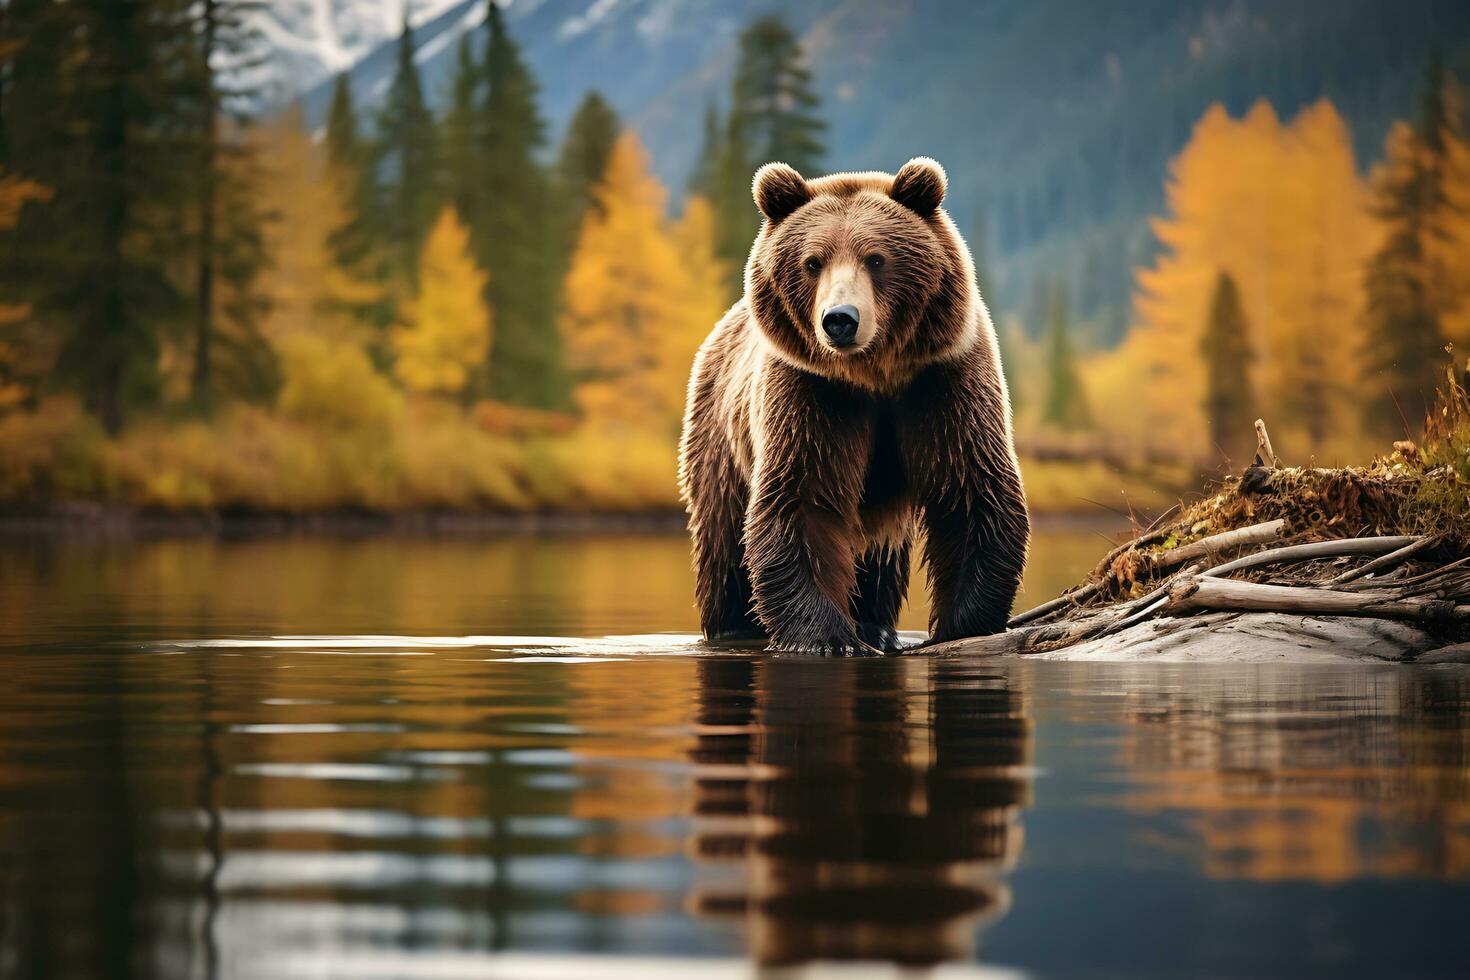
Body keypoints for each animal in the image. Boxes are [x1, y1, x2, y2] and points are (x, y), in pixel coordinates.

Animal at [673, 157, 1023, 655]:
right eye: (812, 262)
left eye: (876, 258)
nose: (840, 319)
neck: (873, 375)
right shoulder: (812, 395)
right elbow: (803, 501)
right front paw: (827, 637)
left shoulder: (943, 384)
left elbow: (970, 493)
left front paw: (965, 623)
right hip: (720, 441)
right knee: (723, 545)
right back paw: (733, 626)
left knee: (881, 555)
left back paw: (876, 625)